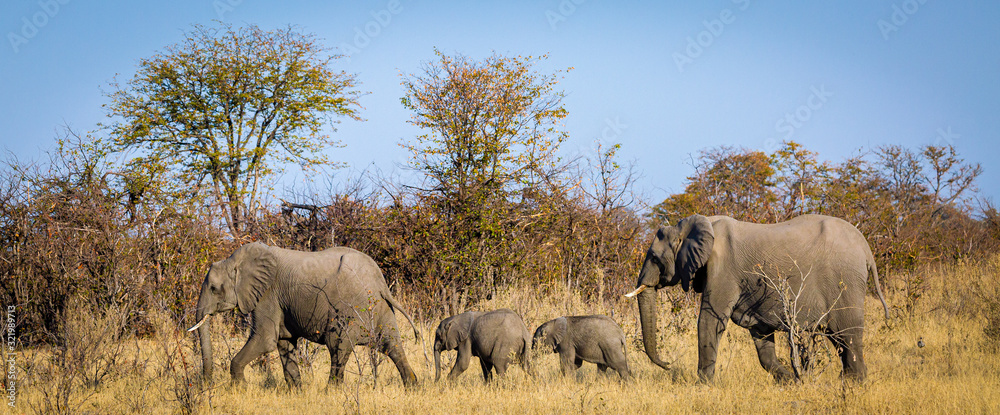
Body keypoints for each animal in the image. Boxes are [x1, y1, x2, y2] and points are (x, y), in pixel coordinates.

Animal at [187, 242, 420, 387]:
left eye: (214, 289)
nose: (207, 383)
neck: (236, 261)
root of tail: (380, 282)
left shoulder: (268, 294)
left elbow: (265, 340)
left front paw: (241, 388)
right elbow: (284, 341)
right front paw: (296, 391)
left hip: (351, 308)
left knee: (338, 346)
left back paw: (330, 392)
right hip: (380, 308)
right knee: (392, 345)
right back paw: (413, 386)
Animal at [626, 214, 889, 382]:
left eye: (655, 259)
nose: (667, 364)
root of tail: (866, 249)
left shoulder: (723, 271)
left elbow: (709, 321)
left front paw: (702, 386)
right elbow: (761, 335)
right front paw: (793, 382)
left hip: (845, 282)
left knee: (847, 334)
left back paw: (854, 384)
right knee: (840, 338)